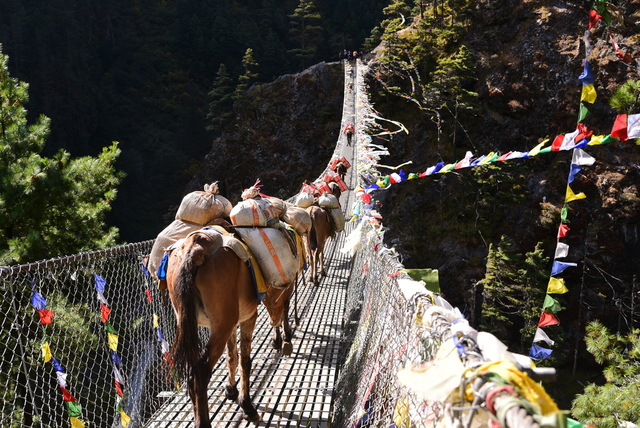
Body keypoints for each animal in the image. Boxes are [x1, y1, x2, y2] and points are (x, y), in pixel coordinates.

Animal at [168, 229, 262, 426]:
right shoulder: (247, 317)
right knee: (201, 374)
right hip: (221, 324)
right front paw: (246, 405)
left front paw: (231, 390)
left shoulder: (232, 323)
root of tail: (195, 249)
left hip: (191, 324)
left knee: (192, 372)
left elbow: (232, 356)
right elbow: (245, 361)